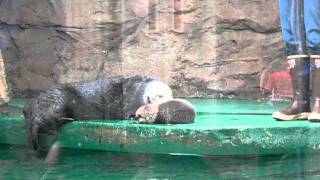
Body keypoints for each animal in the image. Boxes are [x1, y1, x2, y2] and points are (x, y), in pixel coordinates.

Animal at [23, 75, 195, 151]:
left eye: (170, 94)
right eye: (158, 96)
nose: (166, 102)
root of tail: (33, 114)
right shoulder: (132, 101)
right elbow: (130, 113)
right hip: (59, 98)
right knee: (50, 119)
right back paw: (68, 118)